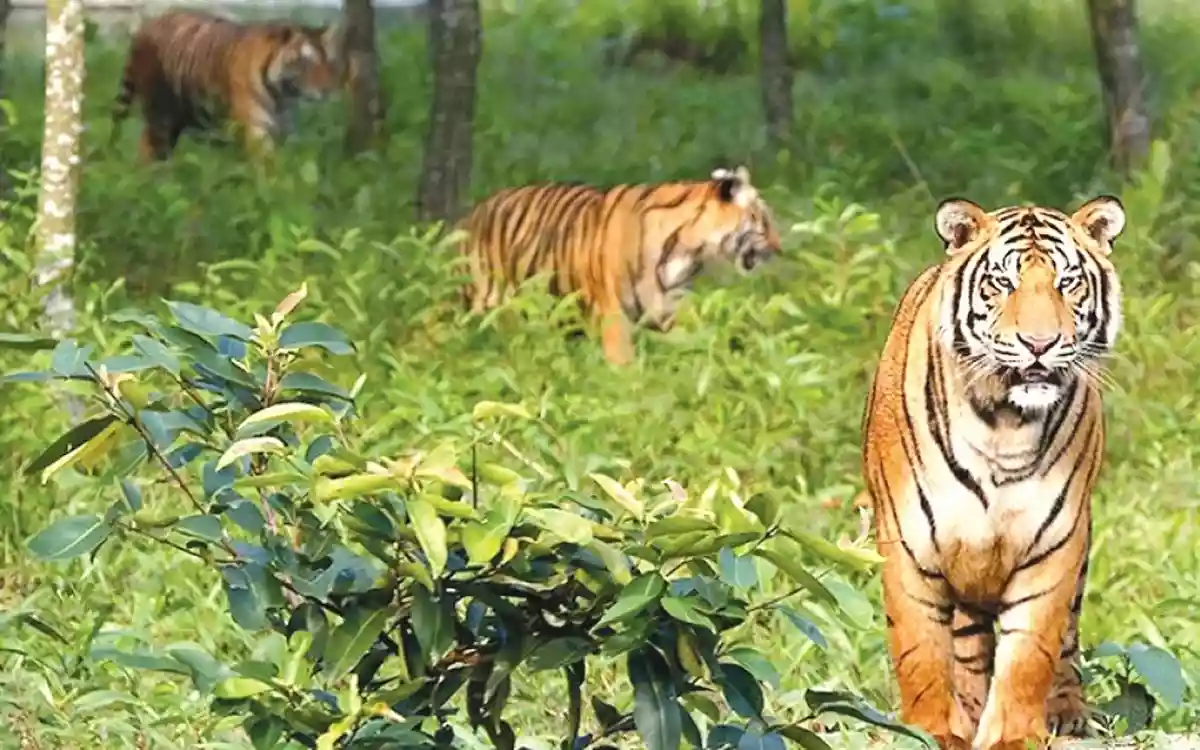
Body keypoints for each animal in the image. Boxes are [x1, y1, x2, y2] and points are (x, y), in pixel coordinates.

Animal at [110, 9, 342, 162]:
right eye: (305, 62)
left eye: (326, 61)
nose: (329, 89)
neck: (282, 96)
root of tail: (145, 27)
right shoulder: (256, 130)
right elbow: (269, 166)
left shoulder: (282, 131)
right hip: (160, 113)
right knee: (150, 147)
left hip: (180, 114)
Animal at [454, 166, 783, 365]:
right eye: (763, 220)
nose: (780, 247)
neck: (690, 251)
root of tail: (470, 215)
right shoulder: (613, 315)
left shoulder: (670, 309)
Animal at [860, 194, 1126, 750]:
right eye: (1002, 282)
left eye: (1068, 282)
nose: (1039, 344)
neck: (1004, 423)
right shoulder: (907, 542)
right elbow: (920, 652)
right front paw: (931, 731)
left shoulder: (1055, 544)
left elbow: (1030, 655)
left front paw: (1013, 736)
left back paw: (1066, 713)